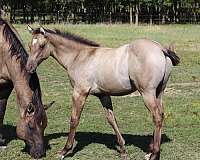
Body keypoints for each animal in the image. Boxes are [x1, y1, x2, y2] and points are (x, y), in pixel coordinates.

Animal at [25, 26, 180, 160]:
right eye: (30, 45)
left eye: (42, 45)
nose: (29, 68)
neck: (79, 56)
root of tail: (161, 48)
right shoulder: (103, 95)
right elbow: (111, 119)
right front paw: (123, 150)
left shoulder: (79, 93)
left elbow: (74, 119)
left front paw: (64, 150)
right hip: (159, 92)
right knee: (160, 114)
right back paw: (150, 151)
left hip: (147, 93)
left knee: (157, 116)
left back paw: (154, 154)